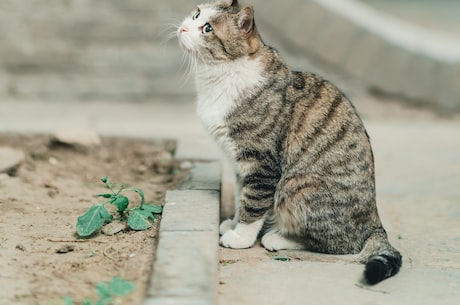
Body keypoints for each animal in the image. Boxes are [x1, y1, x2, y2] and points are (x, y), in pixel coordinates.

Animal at [178, 0, 400, 284]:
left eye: (207, 28)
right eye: (196, 14)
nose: (183, 27)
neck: (219, 77)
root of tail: (375, 222)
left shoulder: (260, 164)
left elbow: (253, 203)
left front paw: (240, 237)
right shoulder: (240, 166)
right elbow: (241, 197)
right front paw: (234, 222)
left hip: (297, 186)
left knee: (340, 244)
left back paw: (279, 238)